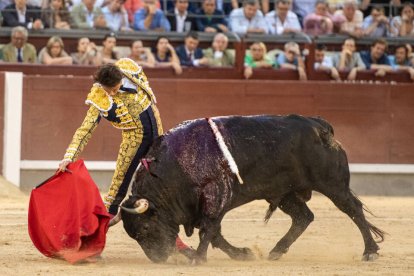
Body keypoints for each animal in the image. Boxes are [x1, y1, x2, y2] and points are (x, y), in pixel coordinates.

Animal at [119, 113, 384, 264]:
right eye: (134, 235)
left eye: (145, 228)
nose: (158, 259)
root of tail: (320, 126)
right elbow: (216, 234)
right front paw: (241, 254)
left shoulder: (216, 197)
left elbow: (209, 229)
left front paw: (198, 258)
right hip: (285, 192)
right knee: (303, 217)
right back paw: (276, 251)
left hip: (332, 183)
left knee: (353, 210)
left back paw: (370, 252)